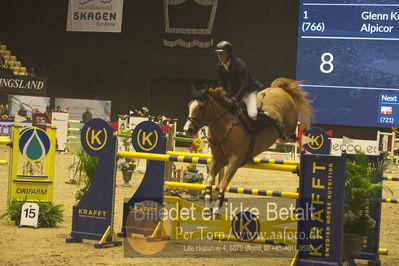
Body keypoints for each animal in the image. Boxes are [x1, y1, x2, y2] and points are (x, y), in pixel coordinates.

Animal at [184, 77, 312, 216]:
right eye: (189, 105)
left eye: (201, 107)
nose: (187, 130)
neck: (227, 126)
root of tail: (280, 89)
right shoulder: (217, 160)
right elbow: (209, 180)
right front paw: (207, 208)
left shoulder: (235, 161)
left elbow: (223, 184)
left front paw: (217, 209)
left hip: (288, 129)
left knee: (290, 135)